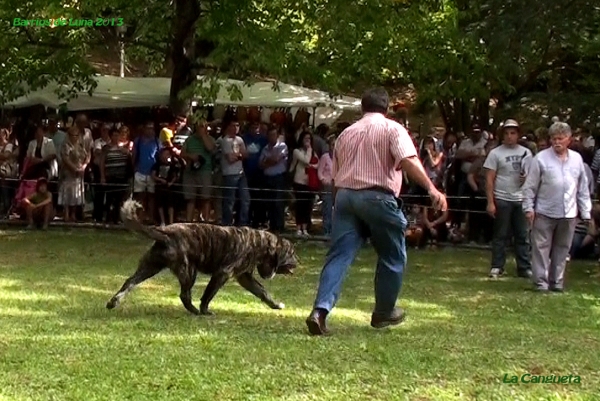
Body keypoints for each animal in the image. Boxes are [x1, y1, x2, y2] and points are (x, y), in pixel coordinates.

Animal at [106, 198, 298, 314]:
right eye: (292, 253)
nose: (299, 261)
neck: (260, 244)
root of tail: (164, 232)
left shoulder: (245, 278)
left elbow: (263, 292)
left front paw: (275, 305)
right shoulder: (222, 273)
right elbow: (208, 294)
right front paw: (205, 310)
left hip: (149, 267)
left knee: (129, 282)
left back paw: (113, 302)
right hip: (189, 272)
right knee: (184, 295)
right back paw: (195, 311)